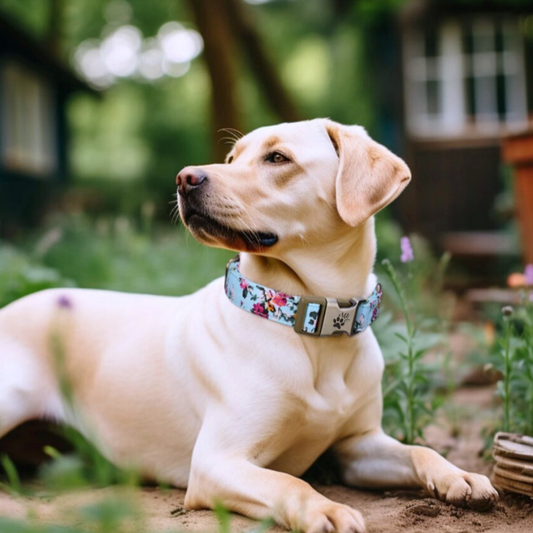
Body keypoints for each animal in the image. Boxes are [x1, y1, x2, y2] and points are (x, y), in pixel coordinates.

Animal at [2, 120, 496, 532]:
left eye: (277, 158)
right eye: (231, 157)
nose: (184, 178)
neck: (315, 325)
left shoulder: (358, 445)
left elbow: (419, 449)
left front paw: (461, 476)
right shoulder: (216, 461)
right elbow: (289, 483)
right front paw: (326, 510)